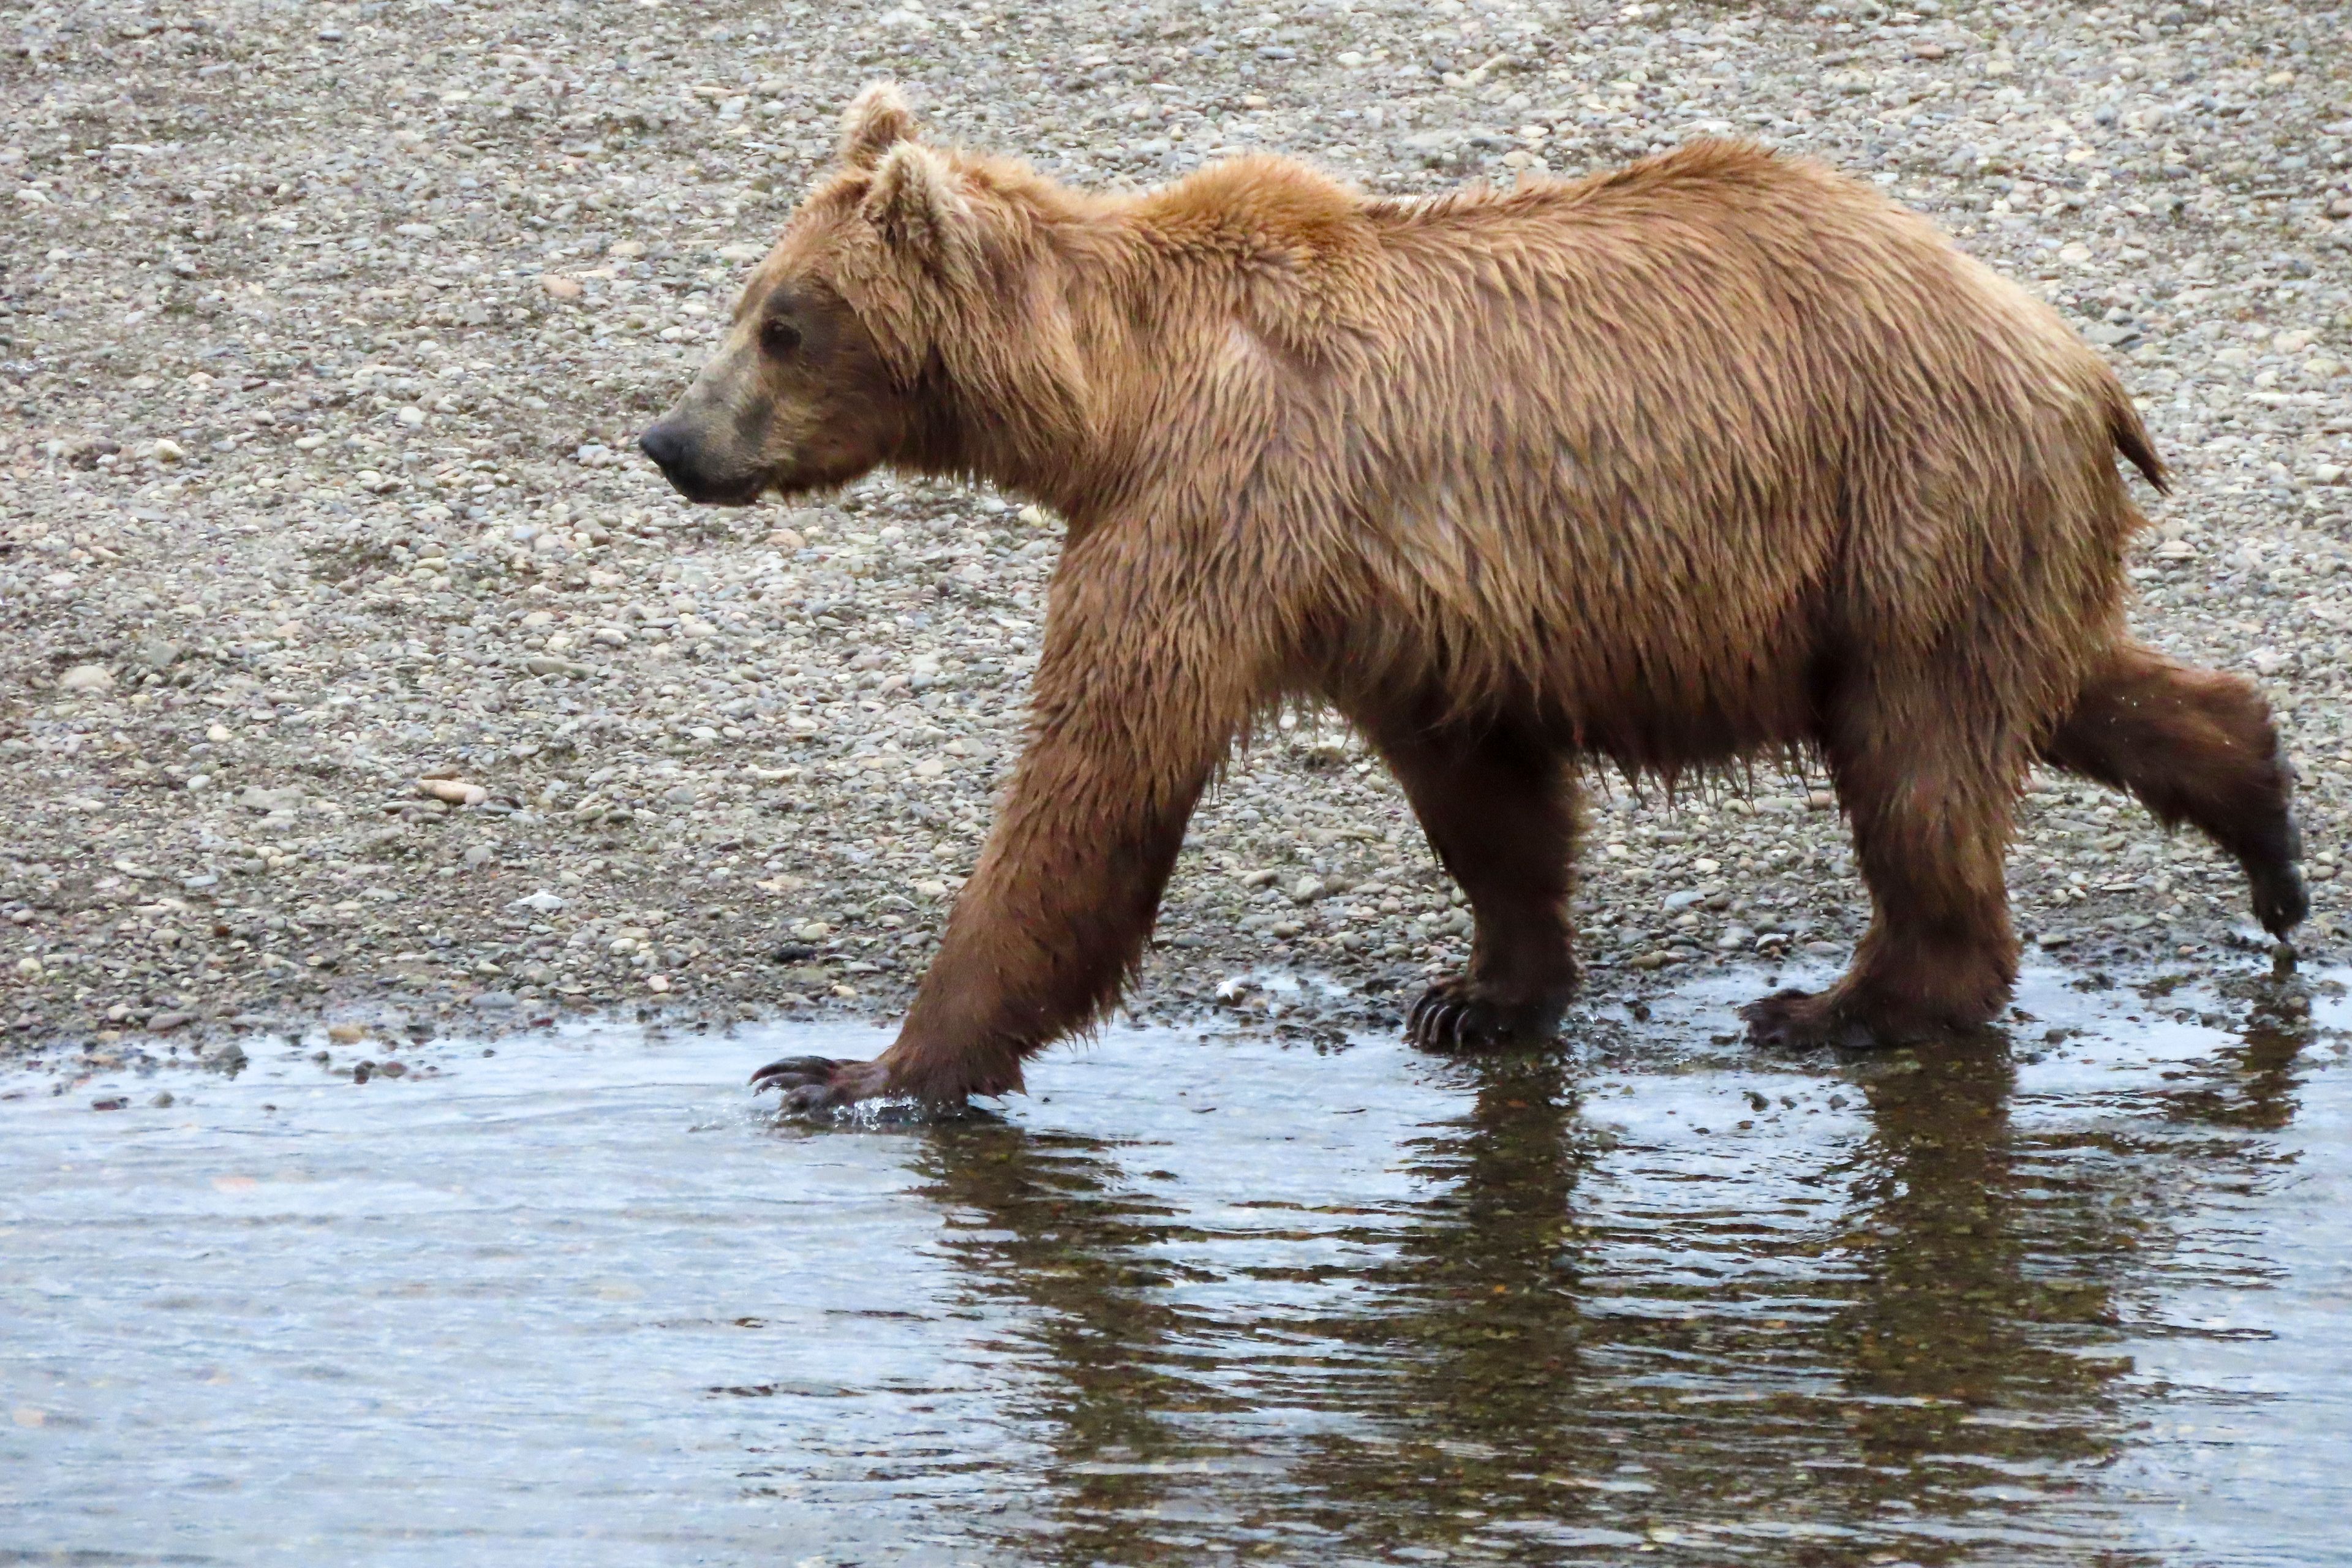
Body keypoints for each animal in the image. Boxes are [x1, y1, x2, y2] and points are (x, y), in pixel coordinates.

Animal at [635, 88, 2305, 1114]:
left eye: (783, 322)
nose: (669, 438)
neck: (1108, 398)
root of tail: (2070, 354)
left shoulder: (1217, 503)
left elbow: (1097, 778)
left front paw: (858, 1070)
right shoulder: (1380, 594)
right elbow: (1480, 793)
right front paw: (1479, 992)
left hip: (1901, 500)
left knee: (1917, 758)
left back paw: (1850, 1000)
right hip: (1957, 534)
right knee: (2057, 685)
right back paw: (2269, 827)